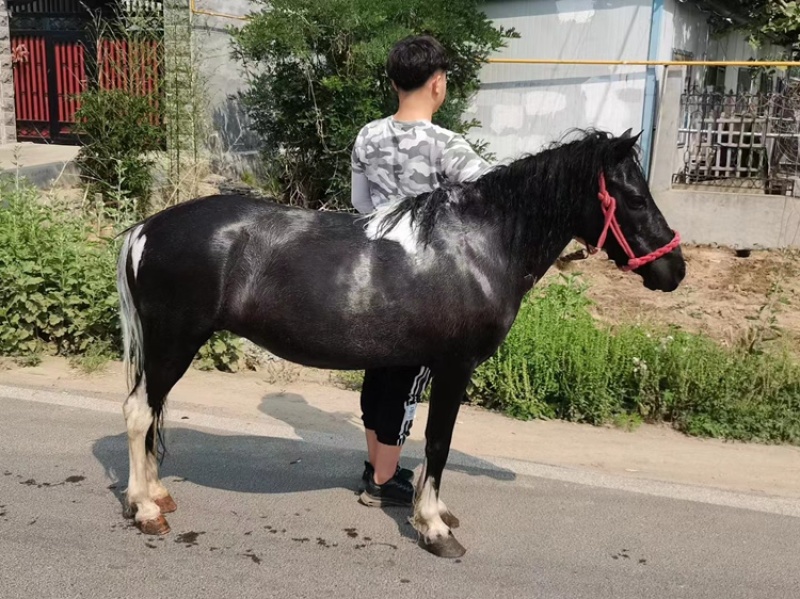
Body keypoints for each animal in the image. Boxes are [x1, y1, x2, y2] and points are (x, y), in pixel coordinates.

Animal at [116, 128, 684, 559]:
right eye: (635, 198)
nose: (675, 270)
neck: (479, 246)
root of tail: (146, 229)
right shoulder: (454, 366)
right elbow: (438, 441)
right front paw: (433, 527)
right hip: (174, 342)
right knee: (139, 412)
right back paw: (144, 509)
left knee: (151, 410)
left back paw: (159, 494)